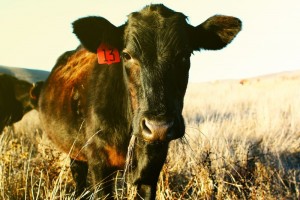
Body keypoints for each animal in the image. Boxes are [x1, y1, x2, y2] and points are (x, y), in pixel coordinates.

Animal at [38, 3, 241, 199]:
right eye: (127, 55)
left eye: (185, 55)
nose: (159, 127)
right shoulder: (99, 162)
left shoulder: (153, 165)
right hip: (74, 150)